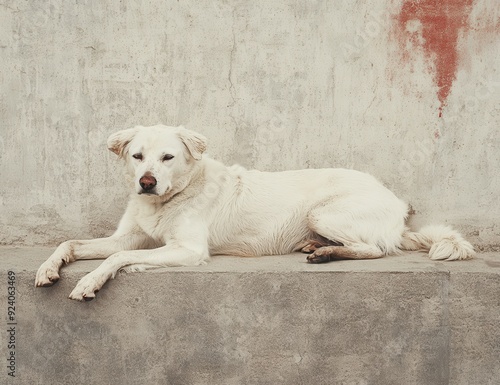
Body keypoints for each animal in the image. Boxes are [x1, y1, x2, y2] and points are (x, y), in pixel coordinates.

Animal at [36, 124, 476, 298]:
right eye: (138, 156)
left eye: (168, 157)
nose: (146, 182)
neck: (167, 199)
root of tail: (396, 204)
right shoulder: (127, 235)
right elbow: (70, 242)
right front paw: (49, 269)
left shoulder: (188, 249)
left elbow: (120, 259)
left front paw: (90, 282)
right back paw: (315, 247)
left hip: (325, 213)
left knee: (375, 249)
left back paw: (327, 252)